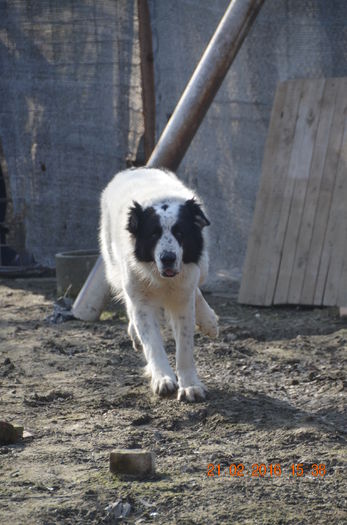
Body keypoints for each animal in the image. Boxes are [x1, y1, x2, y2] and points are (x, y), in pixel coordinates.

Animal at [99, 168, 219, 402]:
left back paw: (209, 321)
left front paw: (190, 385)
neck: (164, 280)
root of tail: (136, 168)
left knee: (197, 289)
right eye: (153, 234)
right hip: (114, 265)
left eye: (180, 232)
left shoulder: (183, 298)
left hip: (203, 266)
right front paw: (162, 379)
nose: (168, 258)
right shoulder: (141, 301)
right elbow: (152, 343)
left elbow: (184, 348)